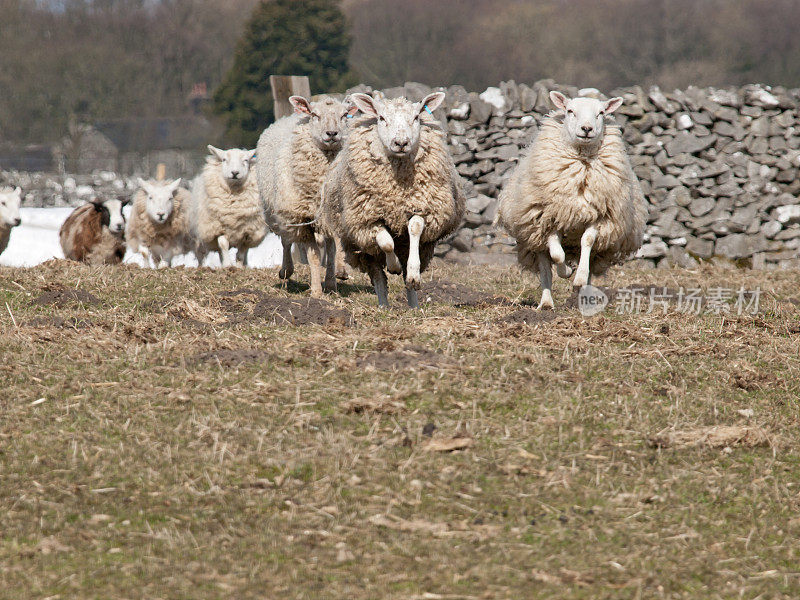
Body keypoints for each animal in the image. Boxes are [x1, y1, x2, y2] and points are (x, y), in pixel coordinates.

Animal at [256, 94, 356, 298]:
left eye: (344, 115)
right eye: (315, 115)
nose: (332, 133)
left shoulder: (336, 213)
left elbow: (334, 248)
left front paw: (337, 277)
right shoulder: (303, 220)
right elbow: (314, 256)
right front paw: (316, 292)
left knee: (329, 246)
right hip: (280, 212)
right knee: (286, 241)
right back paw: (286, 270)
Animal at [318, 94, 466, 310]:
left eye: (416, 117)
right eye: (381, 118)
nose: (401, 143)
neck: (396, 189)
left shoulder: (422, 208)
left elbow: (414, 228)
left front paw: (412, 273)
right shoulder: (368, 220)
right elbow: (387, 243)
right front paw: (393, 265)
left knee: (405, 276)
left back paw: (413, 304)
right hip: (364, 250)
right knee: (378, 276)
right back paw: (384, 306)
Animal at [496, 94, 648, 312]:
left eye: (601, 112)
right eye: (570, 111)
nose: (587, 129)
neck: (581, 163)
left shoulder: (600, 216)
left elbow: (588, 241)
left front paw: (579, 278)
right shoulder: (550, 218)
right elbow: (557, 255)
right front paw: (566, 271)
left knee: (589, 263)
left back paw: (584, 296)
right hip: (534, 238)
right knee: (545, 268)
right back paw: (546, 303)